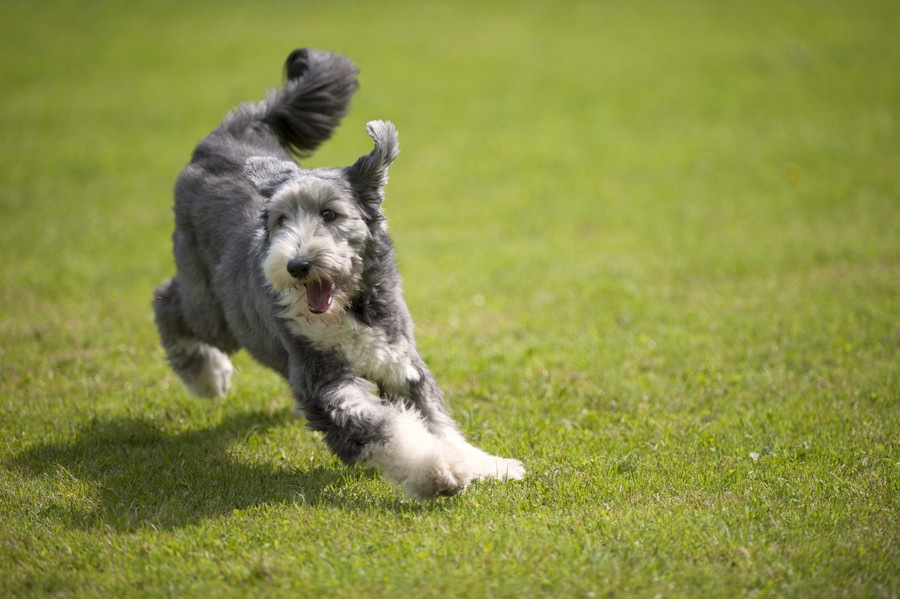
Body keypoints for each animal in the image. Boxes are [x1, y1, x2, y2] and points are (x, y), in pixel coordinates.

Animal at [152, 47, 524, 500]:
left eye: (330, 214)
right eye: (281, 220)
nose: (297, 265)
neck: (348, 310)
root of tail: (228, 134)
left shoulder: (400, 362)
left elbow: (438, 421)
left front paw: (489, 465)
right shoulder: (325, 384)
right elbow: (386, 429)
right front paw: (439, 471)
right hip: (215, 309)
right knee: (167, 301)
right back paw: (207, 376)